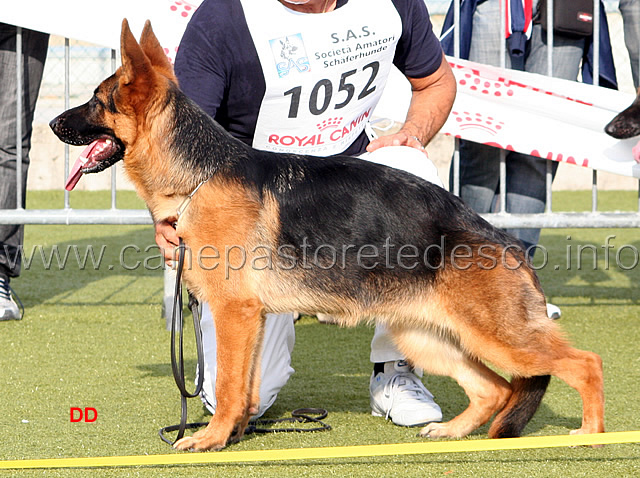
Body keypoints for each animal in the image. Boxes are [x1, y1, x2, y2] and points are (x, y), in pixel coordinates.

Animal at [51, 19, 604, 452]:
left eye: (96, 101)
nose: (54, 122)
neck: (200, 174)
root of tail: (505, 241)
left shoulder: (233, 314)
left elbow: (227, 385)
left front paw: (211, 438)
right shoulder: (248, 321)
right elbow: (245, 387)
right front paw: (236, 432)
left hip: (501, 338)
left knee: (585, 363)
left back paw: (592, 434)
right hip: (431, 337)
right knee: (494, 390)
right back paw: (452, 432)